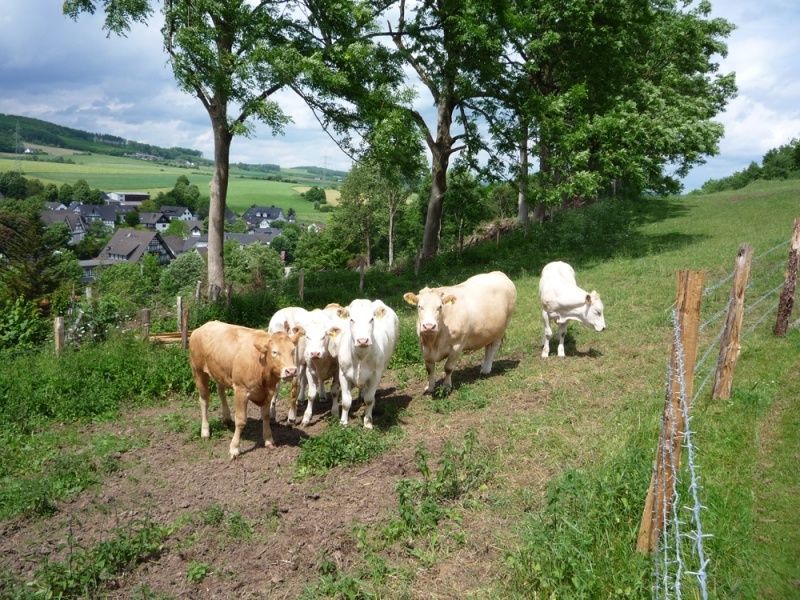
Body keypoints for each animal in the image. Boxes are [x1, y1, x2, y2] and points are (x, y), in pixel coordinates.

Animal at [189, 322, 302, 458]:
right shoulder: (241, 390)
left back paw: (226, 418)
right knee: (204, 400)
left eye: (293, 350)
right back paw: (205, 431)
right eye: (274, 352)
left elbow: (266, 416)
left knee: (221, 392)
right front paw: (234, 448)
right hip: (198, 371)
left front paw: (269, 440)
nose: (291, 371)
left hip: (220, 372)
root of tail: (203, 326)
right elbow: (241, 420)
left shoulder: (268, 392)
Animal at [326, 298, 398, 428]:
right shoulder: (343, 375)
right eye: (351, 319)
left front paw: (367, 422)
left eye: (371, 319)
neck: (360, 356)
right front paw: (343, 422)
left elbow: (369, 399)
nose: (362, 340)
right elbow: (346, 401)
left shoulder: (375, 375)